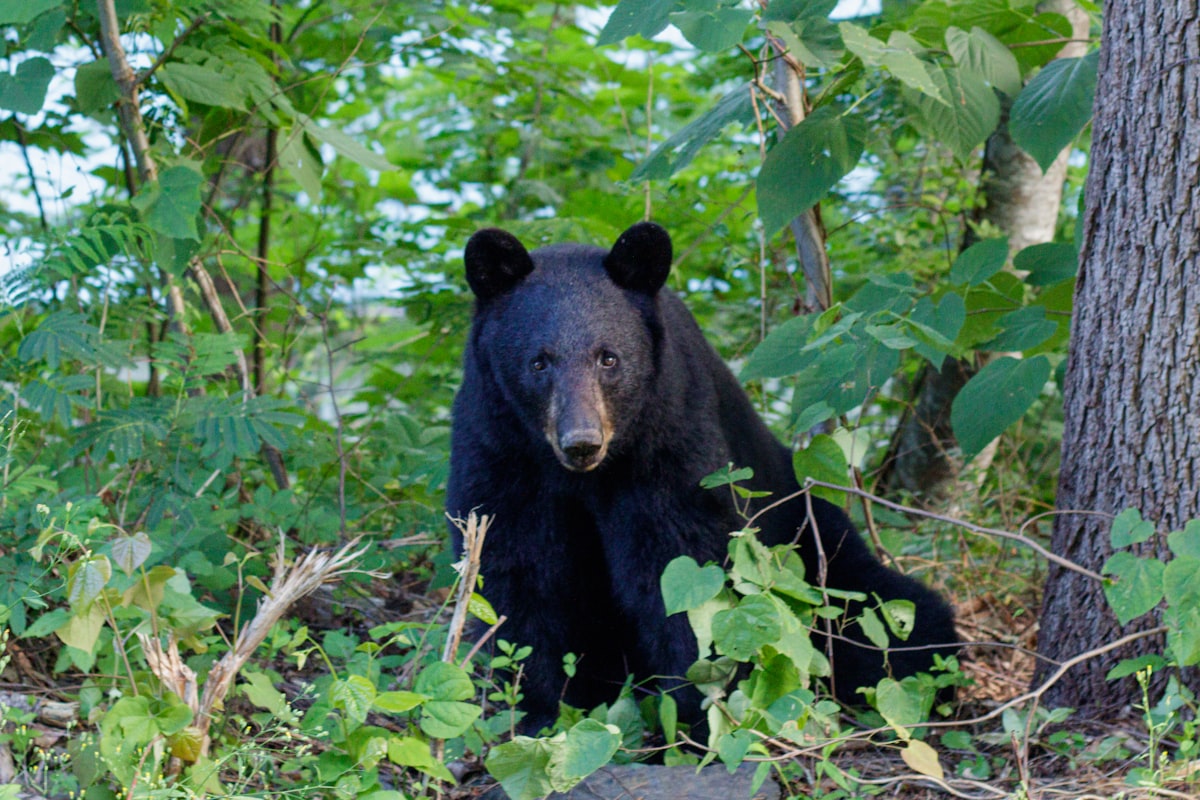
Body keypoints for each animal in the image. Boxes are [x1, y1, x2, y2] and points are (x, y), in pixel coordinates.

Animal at [446, 221, 957, 733]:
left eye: (609, 358)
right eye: (538, 361)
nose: (582, 441)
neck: (586, 475)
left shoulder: (669, 438)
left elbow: (680, 564)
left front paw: (696, 711)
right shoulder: (500, 451)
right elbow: (520, 572)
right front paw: (540, 712)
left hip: (816, 544)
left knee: (889, 615)